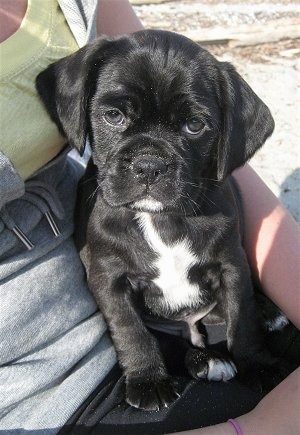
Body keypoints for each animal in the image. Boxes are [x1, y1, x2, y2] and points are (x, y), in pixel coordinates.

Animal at [37, 30, 286, 412]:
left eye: (194, 125)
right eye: (113, 116)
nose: (149, 165)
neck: (161, 219)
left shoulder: (231, 265)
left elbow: (242, 321)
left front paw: (257, 364)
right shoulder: (109, 278)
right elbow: (131, 330)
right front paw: (148, 381)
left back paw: (265, 315)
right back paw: (205, 361)